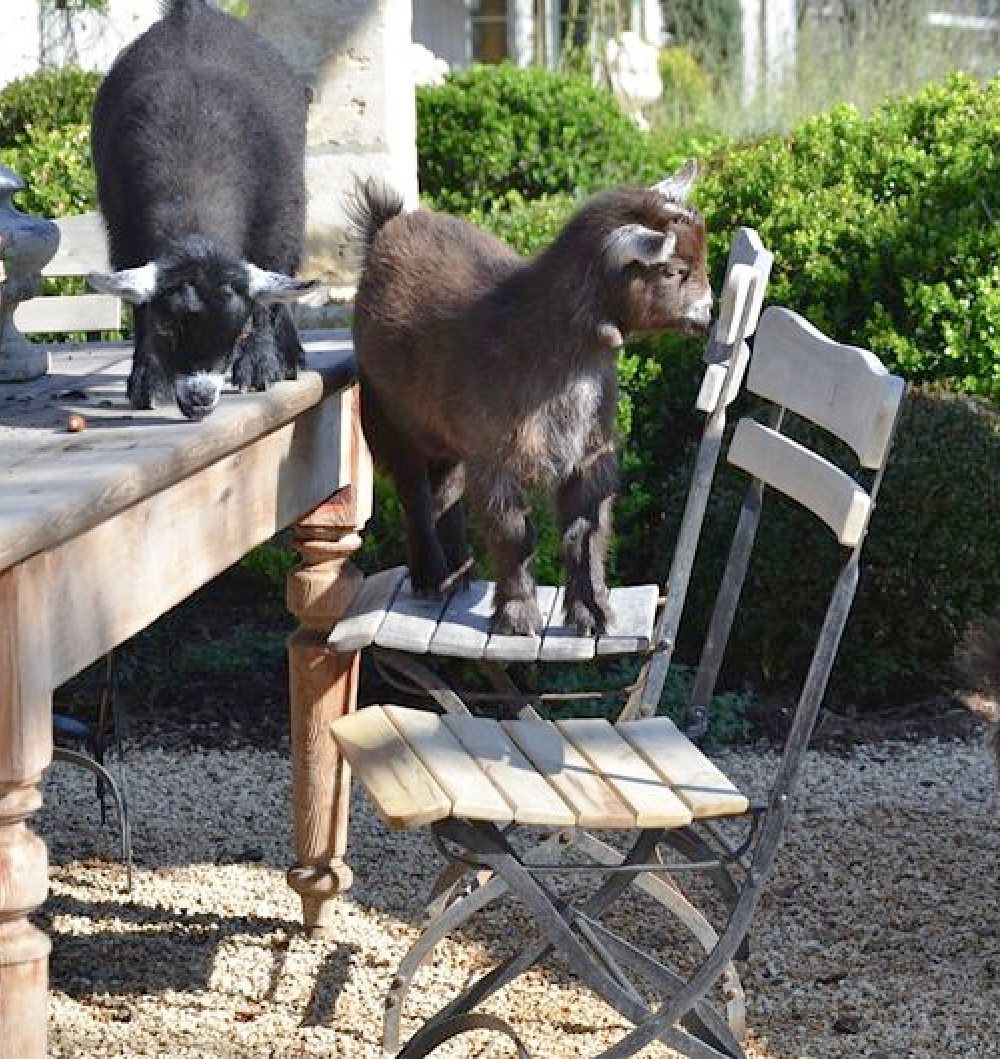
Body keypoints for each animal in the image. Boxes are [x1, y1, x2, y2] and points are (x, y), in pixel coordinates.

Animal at [90, 0, 317, 421]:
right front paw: (148, 380)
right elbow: (140, 310)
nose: (199, 400)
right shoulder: (122, 230)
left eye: (237, 330)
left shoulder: (279, 219)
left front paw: (260, 366)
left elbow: (269, 293)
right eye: (169, 328)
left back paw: (290, 358)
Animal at [347, 160, 716, 631]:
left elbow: (586, 532)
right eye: (671, 270)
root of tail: (388, 226)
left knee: (446, 490)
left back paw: (459, 575)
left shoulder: (588, 453)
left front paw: (592, 613)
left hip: (447, 436)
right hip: (387, 415)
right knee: (414, 491)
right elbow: (513, 534)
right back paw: (430, 578)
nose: (707, 315)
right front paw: (518, 615)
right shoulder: (494, 457)